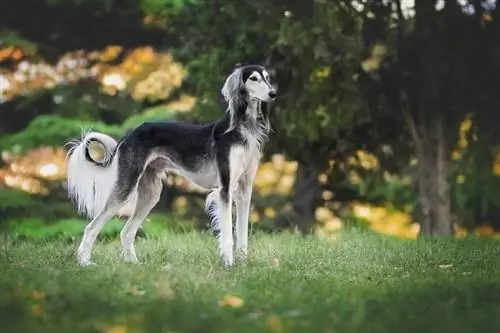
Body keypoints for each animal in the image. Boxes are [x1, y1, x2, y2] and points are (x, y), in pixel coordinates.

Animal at [65, 65, 276, 268]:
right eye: (253, 78)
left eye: (267, 77)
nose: (273, 93)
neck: (242, 130)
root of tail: (130, 134)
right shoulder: (225, 189)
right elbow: (228, 235)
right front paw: (229, 264)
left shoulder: (244, 190)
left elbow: (242, 233)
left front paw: (243, 264)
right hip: (126, 186)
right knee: (92, 227)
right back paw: (85, 262)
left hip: (151, 193)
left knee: (126, 232)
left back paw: (134, 264)